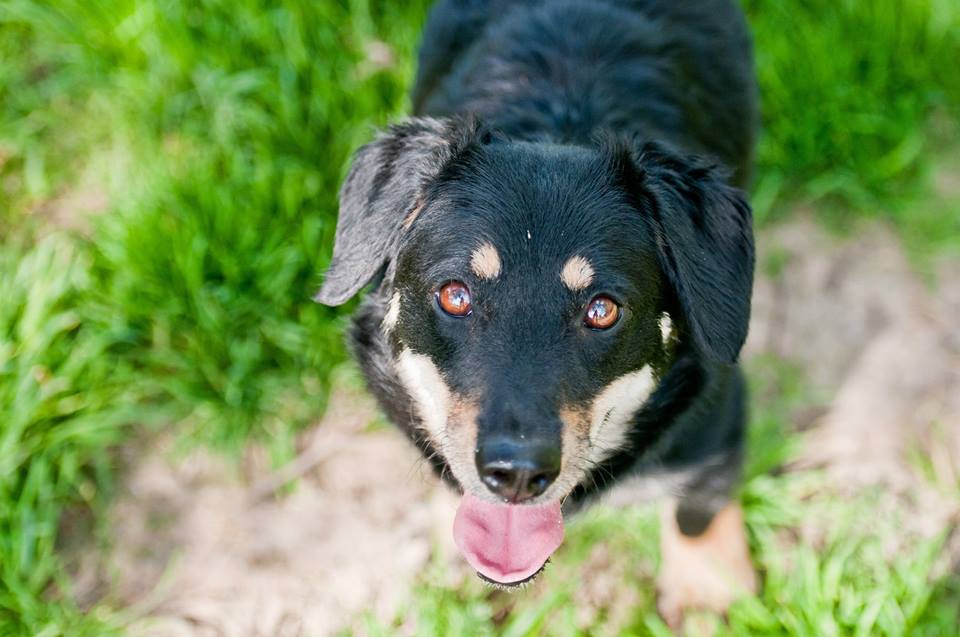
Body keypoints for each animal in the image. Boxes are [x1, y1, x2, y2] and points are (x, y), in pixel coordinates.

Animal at [316, 0, 759, 627]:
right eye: (454, 295)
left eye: (603, 309)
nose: (517, 474)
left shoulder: (717, 407)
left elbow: (699, 502)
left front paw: (707, 592)